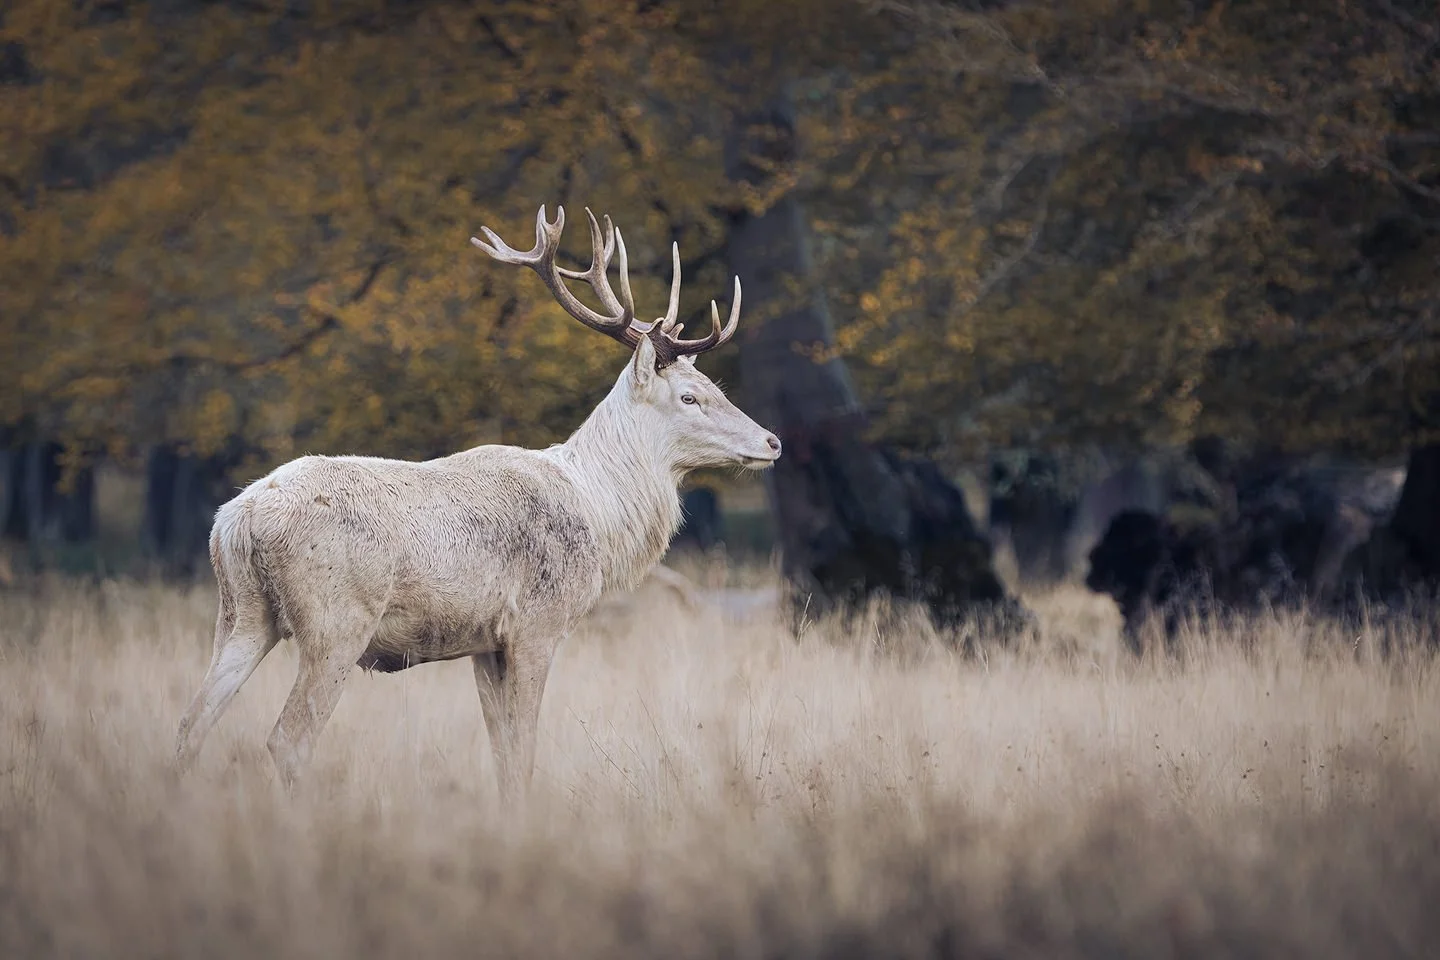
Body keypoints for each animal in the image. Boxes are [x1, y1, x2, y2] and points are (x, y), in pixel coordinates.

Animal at [172, 204, 781, 800]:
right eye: (690, 396)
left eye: (716, 385)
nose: (773, 441)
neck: (597, 513)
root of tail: (238, 521)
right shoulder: (537, 624)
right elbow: (525, 748)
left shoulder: (484, 643)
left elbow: (503, 754)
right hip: (336, 619)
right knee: (288, 737)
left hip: (242, 613)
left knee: (191, 723)